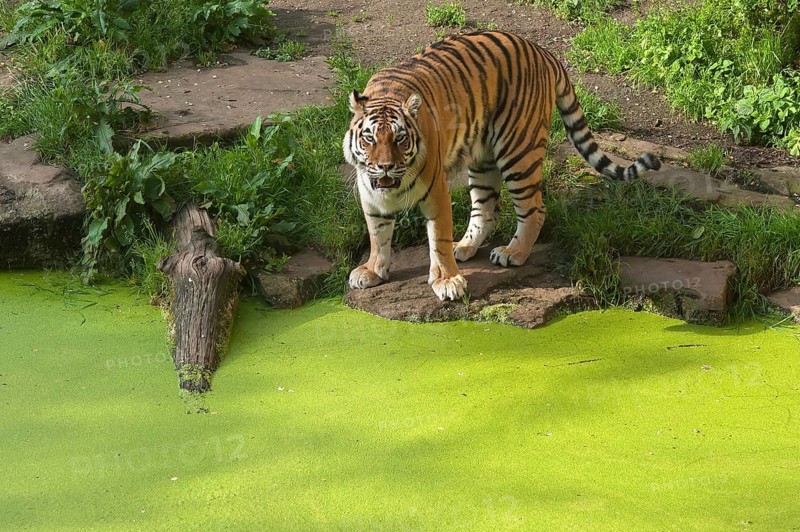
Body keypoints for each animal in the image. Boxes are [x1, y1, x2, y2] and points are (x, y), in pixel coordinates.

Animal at [343, 30, 661, 301]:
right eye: (370, 138)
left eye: (400, 138)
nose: (385, 166)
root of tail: (543, 52)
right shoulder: (371, 195)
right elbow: (377, 235)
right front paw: (372, 270)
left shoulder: (436, 192)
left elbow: (438, 238)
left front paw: (447, 281)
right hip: (483, 160)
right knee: (486, 211)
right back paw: (464, 246)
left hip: (519, 153)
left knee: (534, 209)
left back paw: (513, 252)